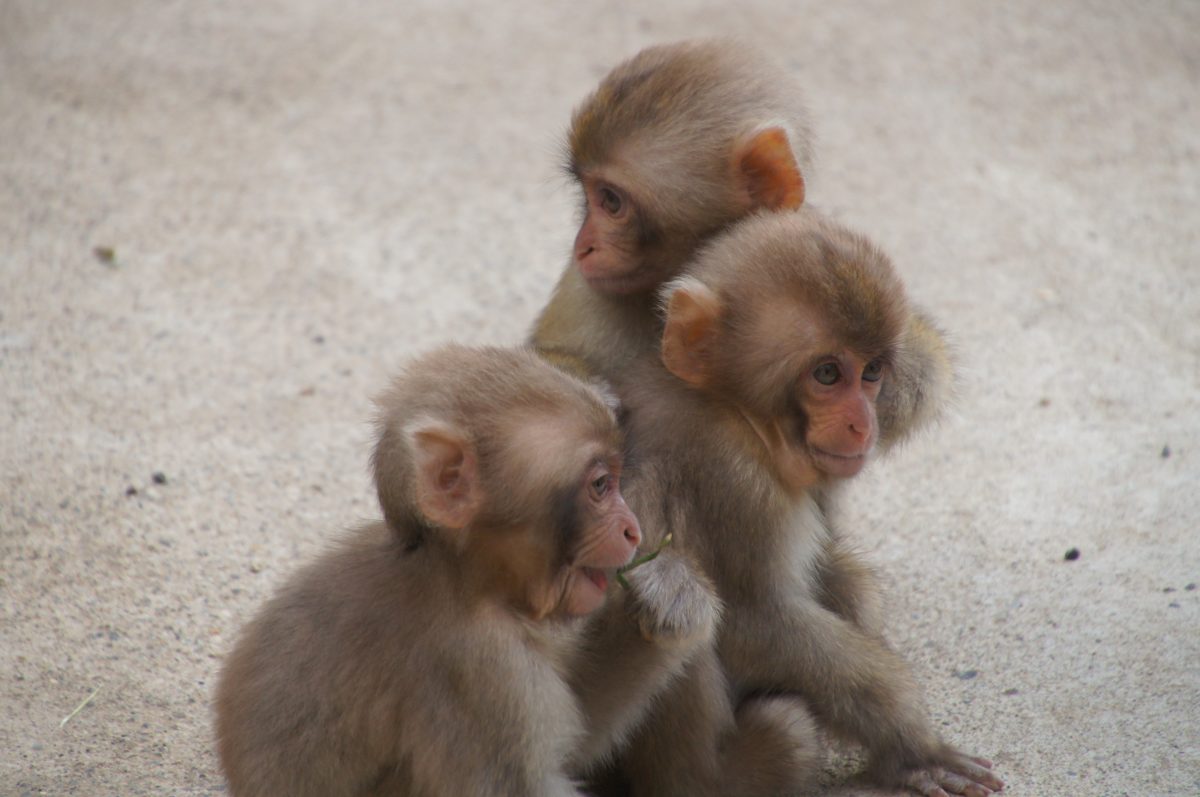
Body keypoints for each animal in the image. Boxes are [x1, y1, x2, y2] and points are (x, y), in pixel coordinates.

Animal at [214, 345, 718, 797]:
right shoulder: (479, 677)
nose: (633, 529)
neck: (464, 581)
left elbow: (578, 738)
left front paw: (669, 599)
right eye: (600, 485)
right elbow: (523, 787)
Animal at [606, 209, 1003, 797]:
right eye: (827, 374)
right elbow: (757, 622)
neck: (733, 412)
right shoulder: (736, 484)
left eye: (872, 371)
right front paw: (912, 745)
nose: (864, 423)